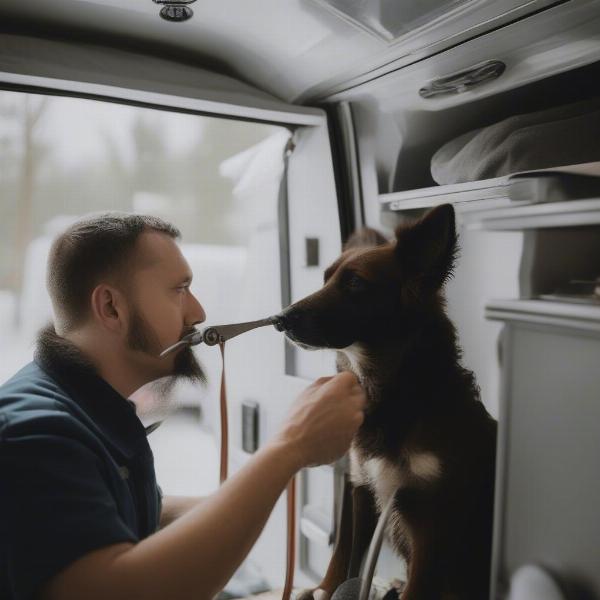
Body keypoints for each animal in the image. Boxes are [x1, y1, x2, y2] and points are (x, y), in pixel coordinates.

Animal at [276, 204, 496, 596]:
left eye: (355, 283)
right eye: (325, 279)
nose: (280, 319)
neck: (395, 393)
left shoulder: (432, 516)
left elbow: (416, 586)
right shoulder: (362, 490)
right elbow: (344, 562)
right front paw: (325, 589)